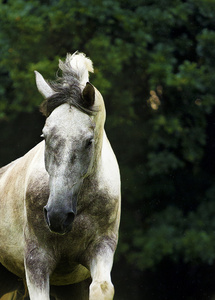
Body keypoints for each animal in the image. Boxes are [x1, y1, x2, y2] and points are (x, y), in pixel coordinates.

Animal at [0, 52, 121, 298]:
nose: (58, 215)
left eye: (89, 141)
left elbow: (102, 288)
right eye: (44, 135)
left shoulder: (101, 248)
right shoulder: (37, 260)